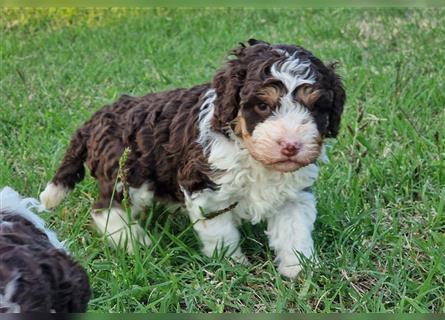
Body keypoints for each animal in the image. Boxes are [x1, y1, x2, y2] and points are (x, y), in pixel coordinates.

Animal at [40, 39, 346, 278]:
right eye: (262, 105)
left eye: (315, 107)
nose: (291, 146)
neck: (251, 156)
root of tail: (97, 118)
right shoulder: (206, 188)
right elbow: (221, 232)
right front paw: (232, 265)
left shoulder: (294, 195)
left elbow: (294, 230)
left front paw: (300, 269)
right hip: (129, 173)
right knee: (105, 209)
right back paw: (135, 241)